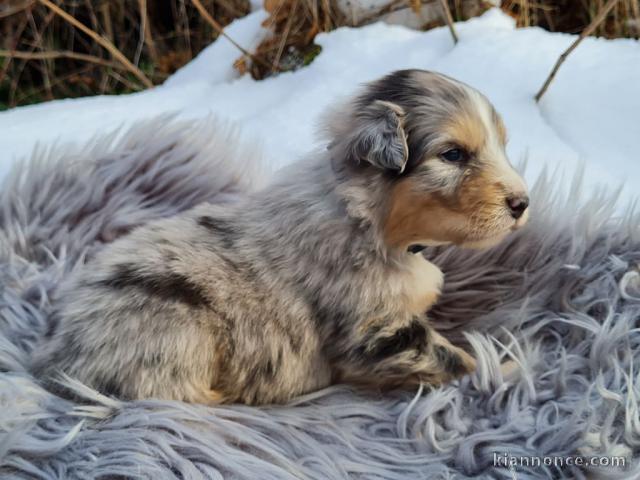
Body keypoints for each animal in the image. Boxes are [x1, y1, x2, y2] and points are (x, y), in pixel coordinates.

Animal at [32, 68, 528, 404]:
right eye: (452, 155)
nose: (523, 204)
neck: (365, 216)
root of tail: (54, 359)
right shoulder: (373, 332)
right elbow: (452, 357)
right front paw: (510, 369)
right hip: (173, 330)